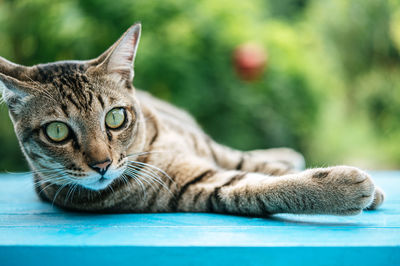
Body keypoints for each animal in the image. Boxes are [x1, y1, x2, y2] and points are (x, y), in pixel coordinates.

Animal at [0, 23, 384, 215]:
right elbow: (260, 187)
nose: (102, 165)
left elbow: (263, 169)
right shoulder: (196, 185)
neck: (150, 146)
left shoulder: (207, 153)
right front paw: (344, 187)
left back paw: (286, 154)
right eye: (57, 131)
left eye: (115, 118)